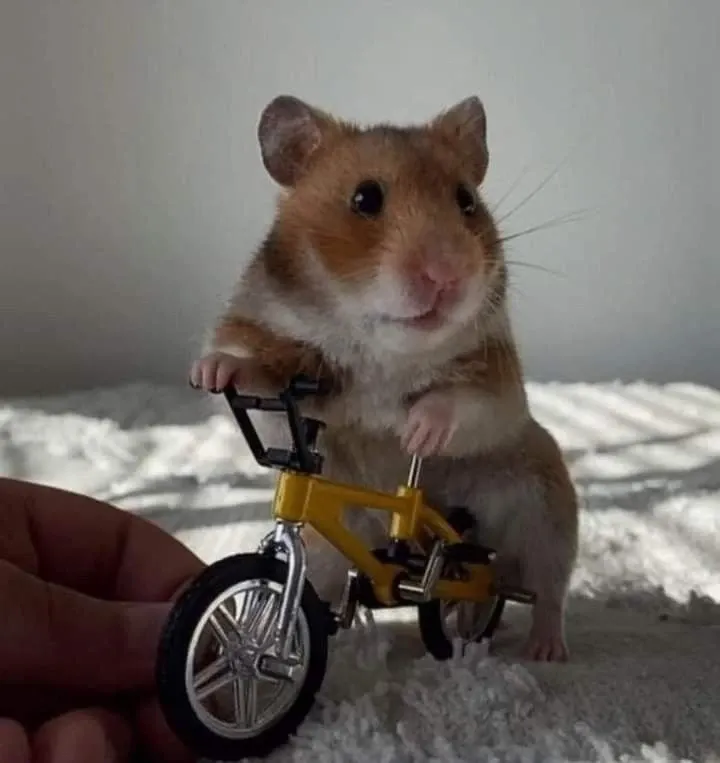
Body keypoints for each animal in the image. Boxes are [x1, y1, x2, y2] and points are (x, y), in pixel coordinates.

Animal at [190, 94, 578, 662]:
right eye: (365, 198)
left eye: (466, 200)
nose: (447, 275)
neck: (382, 352)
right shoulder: (272, 357)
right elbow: (251, 372)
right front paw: (212, 371)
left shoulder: (498, 379)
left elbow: (467, 403)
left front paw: (415, 430)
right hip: (326, 555)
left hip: (546, 505)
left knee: (540, 589)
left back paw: (542, 649)